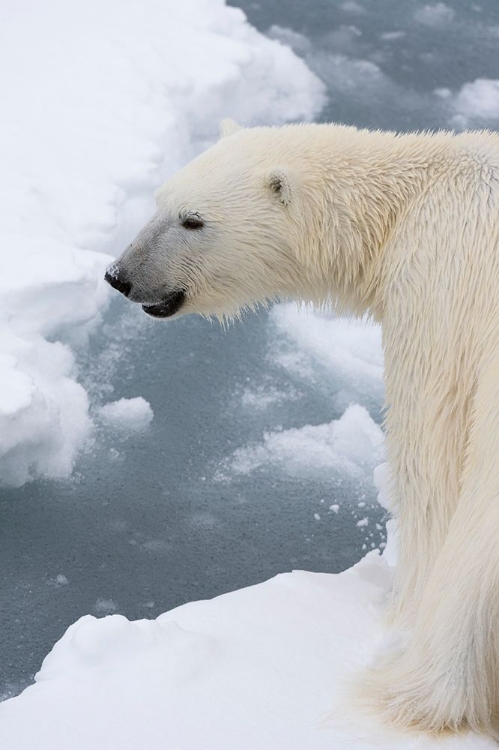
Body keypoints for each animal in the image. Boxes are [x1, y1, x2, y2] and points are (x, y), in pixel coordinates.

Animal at [106, 120, 499, 744]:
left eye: (193, 220)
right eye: (160, 202)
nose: (119, 276)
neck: (410, 198)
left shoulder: (441, 286)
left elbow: (431, 466)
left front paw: (402, 612)